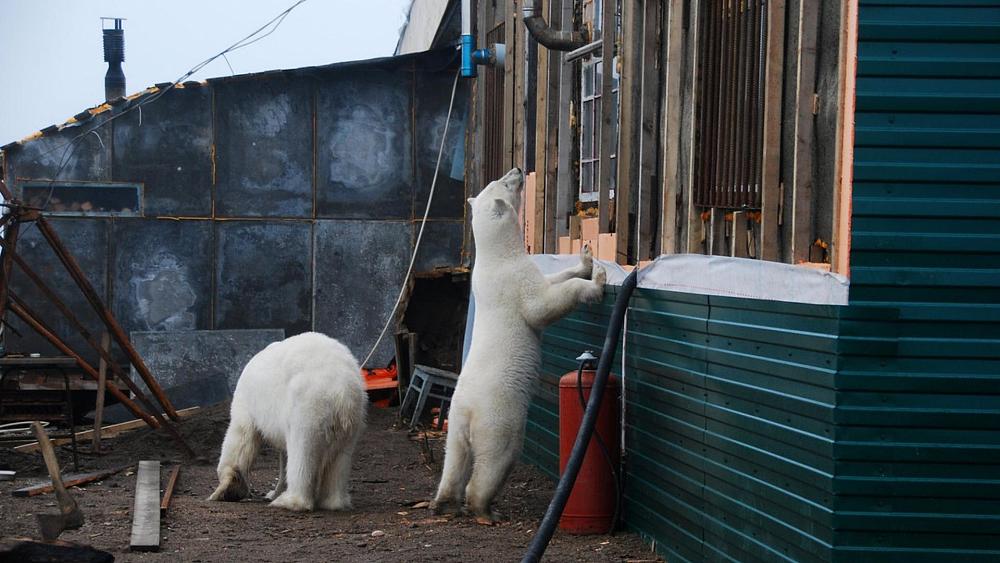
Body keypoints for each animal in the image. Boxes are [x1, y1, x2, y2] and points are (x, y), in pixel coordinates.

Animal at [207, 332, 368, 512]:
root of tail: (341, 391)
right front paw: (272, 492)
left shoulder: (247, 402)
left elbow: (241, 436)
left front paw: (225, 490)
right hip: (353, 417)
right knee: (340, 458)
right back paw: (334, 502)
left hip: (307, 406)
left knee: (302, 452)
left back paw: (289, 501)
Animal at [428, 167, 600, 524]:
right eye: (506, 184)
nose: (518, 169)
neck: (496, 256)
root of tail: (468, 412)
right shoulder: (514, 281)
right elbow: (541, 305)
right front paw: (596, 284)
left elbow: (552, 279)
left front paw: (586, 259)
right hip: (498, 418)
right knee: (496, 458)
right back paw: (485, 509)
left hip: (456, 420)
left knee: (455, 458)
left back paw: (444, 501)